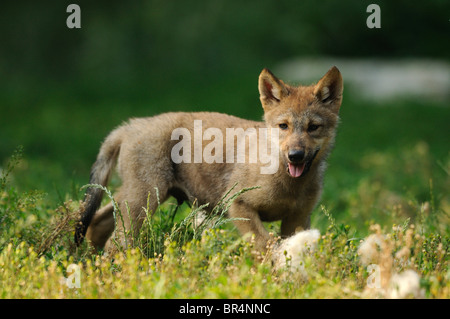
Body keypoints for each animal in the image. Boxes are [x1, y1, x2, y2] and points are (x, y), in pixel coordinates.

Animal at [75, 67, 342, 255]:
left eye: (313, 127)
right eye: (283, 126)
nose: (295, 155)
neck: (289, 183)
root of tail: (130, 125)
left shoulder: (297, 219)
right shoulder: (238, 205)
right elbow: (265, 246)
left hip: (136, 198)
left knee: (96, 224)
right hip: (143, 201)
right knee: (115, 242)